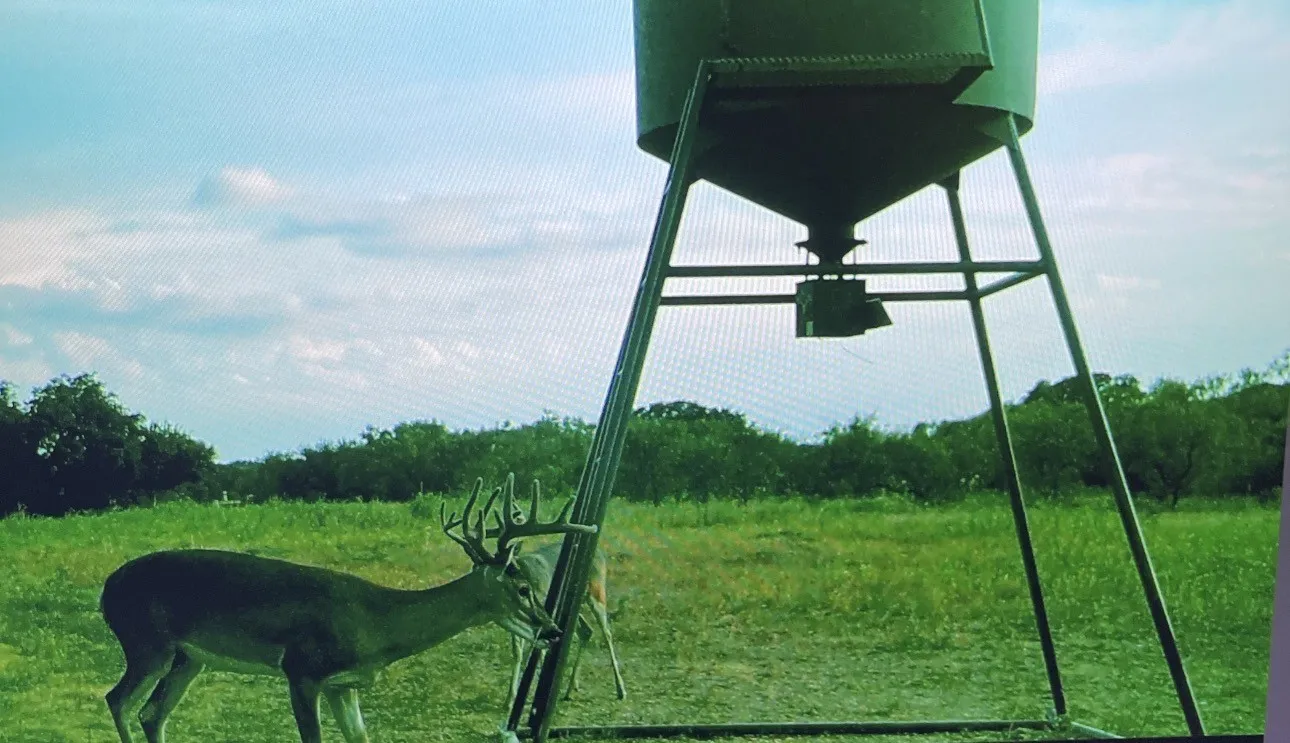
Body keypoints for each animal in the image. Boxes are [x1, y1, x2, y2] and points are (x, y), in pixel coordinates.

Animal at [98, 474, 596, 743]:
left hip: (189, 658)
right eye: (523, 588)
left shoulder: (345, 684)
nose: (553, 631)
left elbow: (360, 736)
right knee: (118, 700)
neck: (378, 624)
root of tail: (106, 587)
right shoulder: (302, 669)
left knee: (151, 713)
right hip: (148, 643)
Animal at [506, 541, 626, 707]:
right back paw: (570, 689)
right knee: (586, 630)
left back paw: (621, 690)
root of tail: (601, 552)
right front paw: (510, 699)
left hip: (597, 591)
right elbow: (518, 651)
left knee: (606, 632)